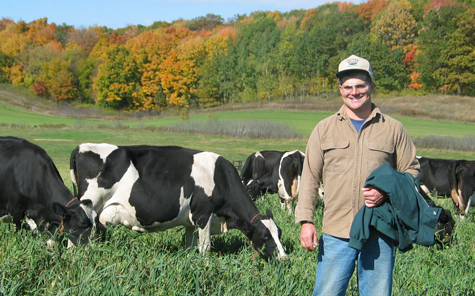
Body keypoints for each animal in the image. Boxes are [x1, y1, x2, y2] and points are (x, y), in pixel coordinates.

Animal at [59, 143, 290, 260]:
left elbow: (191, 246)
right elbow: (205, 248)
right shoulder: (203, 214)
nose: (284, 257)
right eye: (265, 235)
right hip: (86, 211)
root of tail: (80, 147)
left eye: (279, 233)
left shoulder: (191, 221)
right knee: (74, 238)